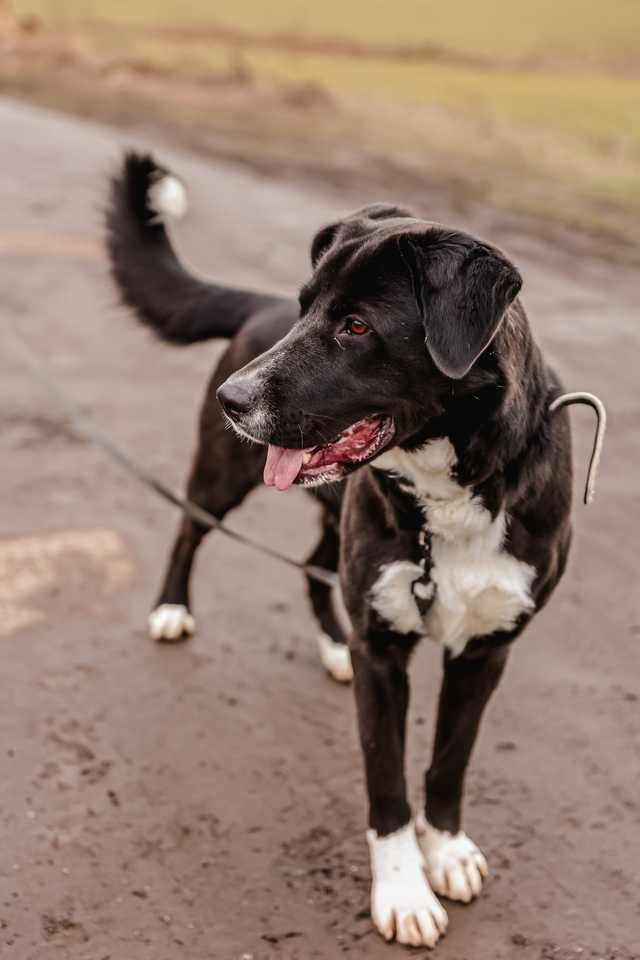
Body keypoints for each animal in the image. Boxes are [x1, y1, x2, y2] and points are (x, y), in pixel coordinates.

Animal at [107, 154, 572, 948]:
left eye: (357, 326)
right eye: (306, 310)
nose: (233, 400)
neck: (453, 489)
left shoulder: (487, 650)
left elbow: (449, 762)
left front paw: (447, 850)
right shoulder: (384, 658)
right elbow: (386, 786)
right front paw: (405, 892)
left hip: (334, 512)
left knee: (314, 569)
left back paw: (331, 644)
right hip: (222, 475)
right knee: (190, 527)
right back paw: (172, 608)